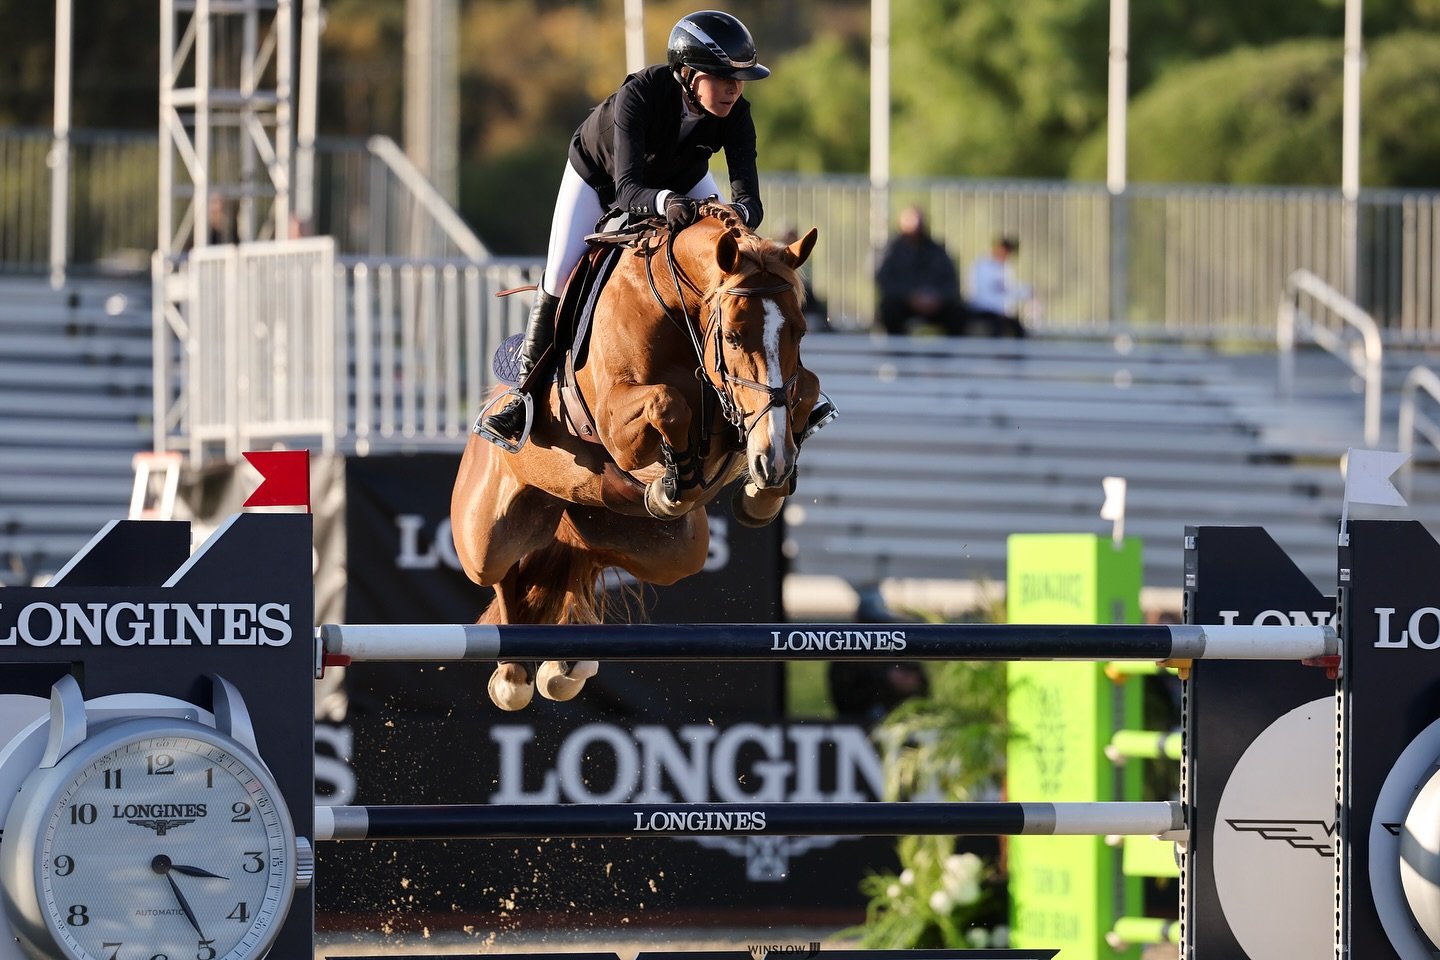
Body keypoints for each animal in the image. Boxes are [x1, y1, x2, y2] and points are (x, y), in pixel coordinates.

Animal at [450, 204, 822, 710]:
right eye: (733, 337)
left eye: (800, 333)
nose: (775, 463)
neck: (678, 310)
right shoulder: (617, 424)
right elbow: (668, 403)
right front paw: (675, 482)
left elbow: (807, 388)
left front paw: (762, 489)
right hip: (484, 539)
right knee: (504, 574)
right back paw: (514, 675)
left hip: (668, 549)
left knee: (582, 556)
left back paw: (566, 663)